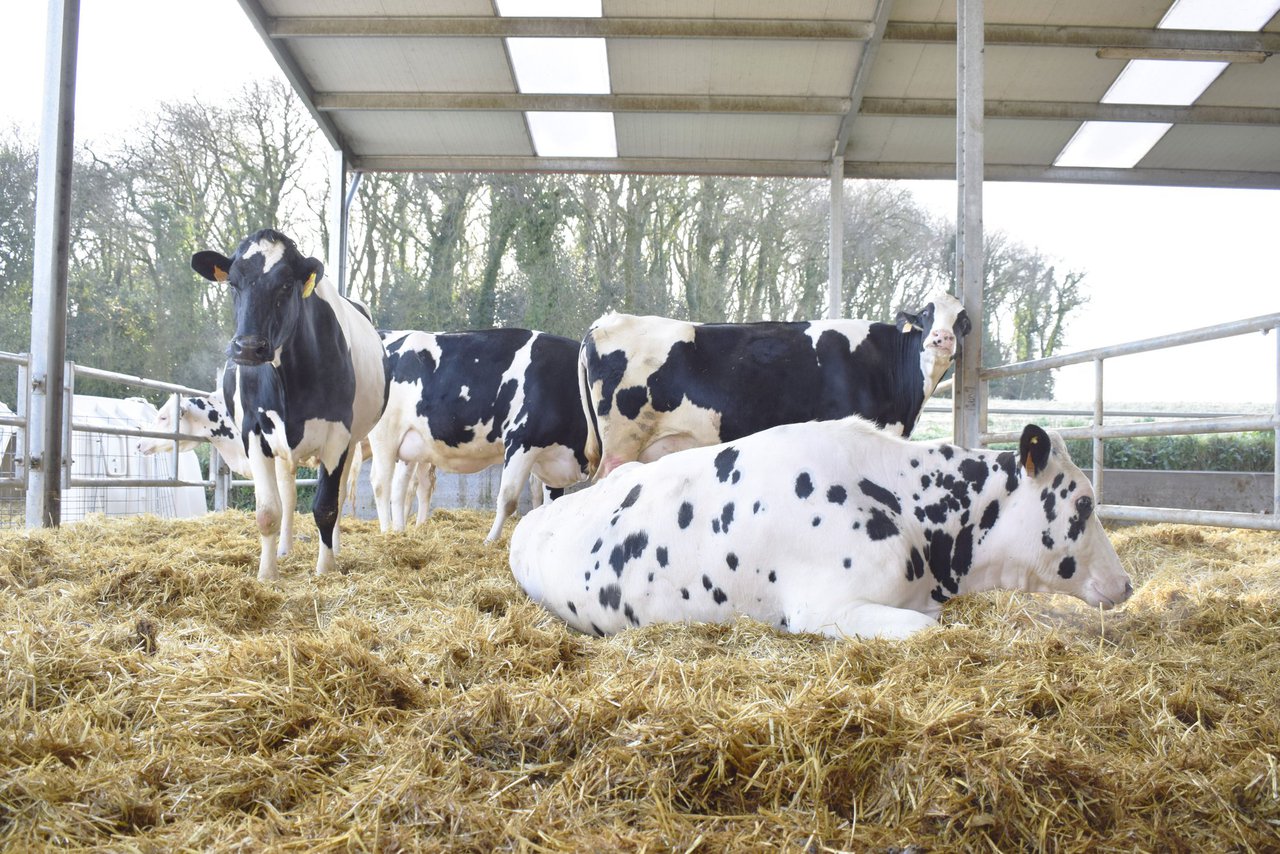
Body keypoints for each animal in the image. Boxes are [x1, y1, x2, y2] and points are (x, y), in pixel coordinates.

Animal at [191, 229, 388, 581]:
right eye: (233, 283)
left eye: (286, 284)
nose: (248, 347)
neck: (289, 385)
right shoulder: (254, 432)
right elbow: (269, 511)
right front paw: (267, 574)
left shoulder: (338, 436)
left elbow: (326, 506)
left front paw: (325, 569)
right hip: (280, 448)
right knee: (288, 493)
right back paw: (284, 549)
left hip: (352, 442)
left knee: (338, 496)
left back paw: (335, 549)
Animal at [368, 328, 590, 543]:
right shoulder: (521, 440)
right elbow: (508, 499)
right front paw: (490, 541)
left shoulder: (551, 456)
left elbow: (552, 504)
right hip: (384, 436)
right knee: (381, 484)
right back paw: (387, 532)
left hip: (408, 445)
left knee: (400, 488)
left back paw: (399, 532)